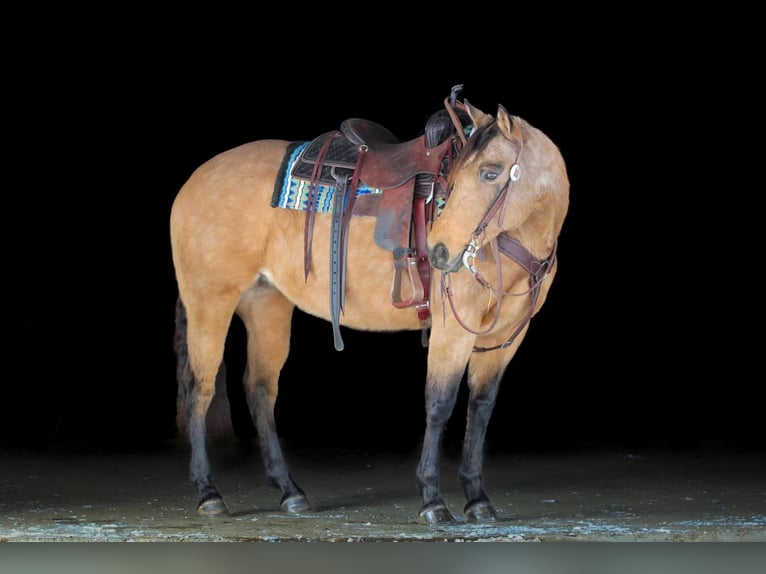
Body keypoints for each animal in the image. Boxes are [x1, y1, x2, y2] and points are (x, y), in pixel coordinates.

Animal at [169, 87, 570, 524]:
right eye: (457, 177)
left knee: (260, 389)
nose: (439, 251)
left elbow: (480, 408)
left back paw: (290, 491)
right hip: (210, 302)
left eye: (491, 173)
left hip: (266, 306)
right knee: (199, 387)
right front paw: (433, 500)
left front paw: (477, 498)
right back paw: (209, 493)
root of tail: (194, 180)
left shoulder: (505, 336)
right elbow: (440, 404)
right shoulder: (453, 330)